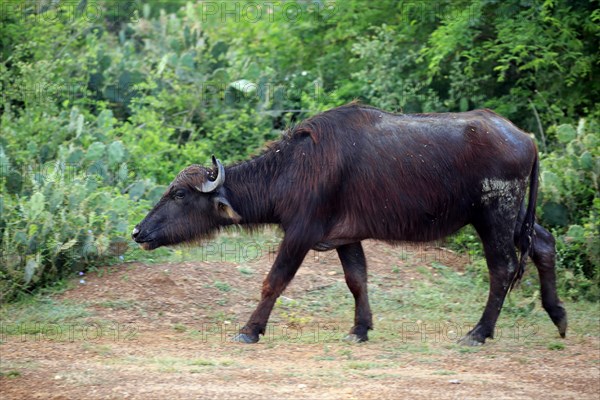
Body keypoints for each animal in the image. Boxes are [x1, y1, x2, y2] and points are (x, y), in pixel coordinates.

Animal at [132, 102, 568, 344]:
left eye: (179, 194)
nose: (138, 231)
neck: (295, 169)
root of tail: (526, 138)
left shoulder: (301, 233)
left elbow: (274, 281)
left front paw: (250, 330)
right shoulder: (346, 238)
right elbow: (357, 280)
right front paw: (360, 329)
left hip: (495, 214)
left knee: (503, 268)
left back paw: (479, 332)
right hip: (516, 216)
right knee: (544, 243)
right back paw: (558, 316)